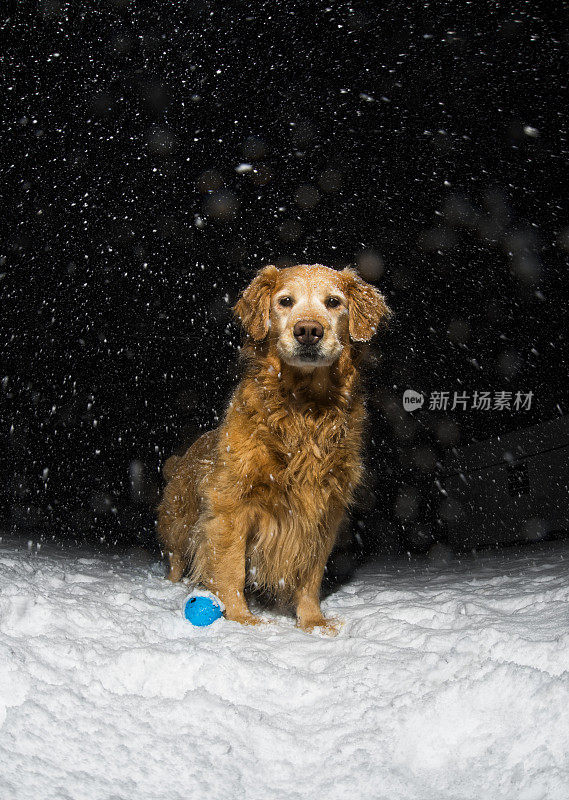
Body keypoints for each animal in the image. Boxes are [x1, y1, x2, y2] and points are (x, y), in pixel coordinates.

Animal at [155, 266, 390, 636]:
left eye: (333, 302)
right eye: (285, 301)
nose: (308, 331)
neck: (305, 409)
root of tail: (180, 459)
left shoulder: (323, 512)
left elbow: (310, 577)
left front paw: (313, 621)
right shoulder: (231, 505)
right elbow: (231, 567)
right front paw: (241, 618)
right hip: (178, 523)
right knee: (177, 558)